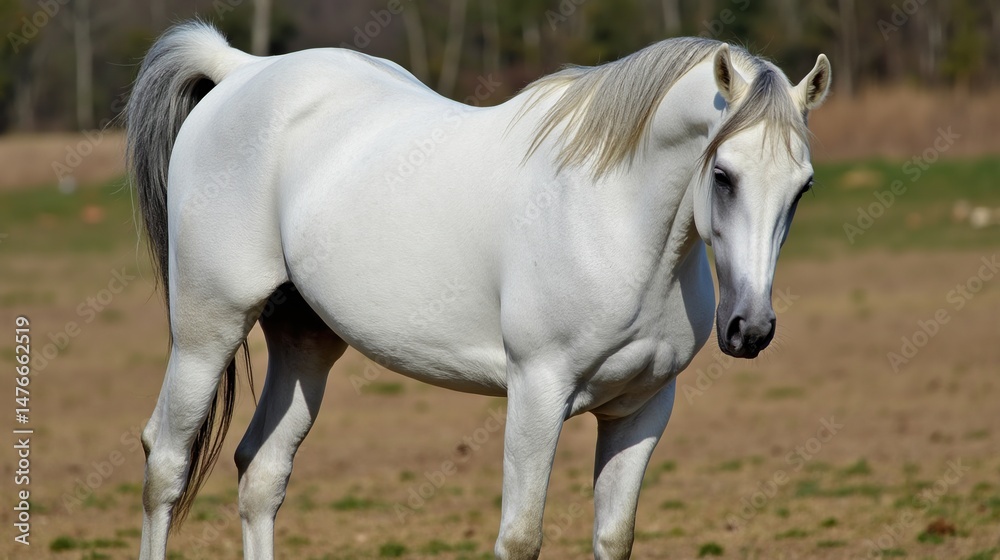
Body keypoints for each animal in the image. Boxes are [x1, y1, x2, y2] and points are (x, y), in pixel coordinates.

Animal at [127, 21, 830, 560]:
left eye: (804, 187)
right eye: (723, 174)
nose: (750, 329)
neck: (613, 221)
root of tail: (243, 69)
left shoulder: (642, 409)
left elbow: (614, 537)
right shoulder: (537, 394)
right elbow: (520, 538)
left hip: (306, 344)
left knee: (262, 474)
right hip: (207, 329)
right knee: (166, 462)